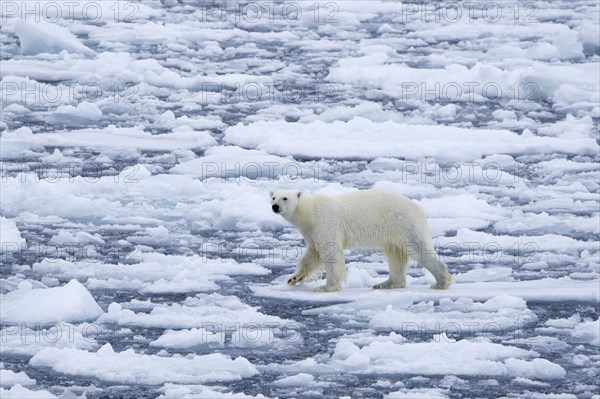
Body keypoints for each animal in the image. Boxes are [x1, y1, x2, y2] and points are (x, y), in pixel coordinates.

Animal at [270, 189, 450, 292]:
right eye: (273, 197)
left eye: (285, 198)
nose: (275, 207)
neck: (309, 212)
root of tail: (418, 208)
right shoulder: (311, 231)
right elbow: (312, 255)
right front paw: (293, 278)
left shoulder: (325, 223)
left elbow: (331, 253)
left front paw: (326, 287)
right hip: (395, 232)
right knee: (395, 255)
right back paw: (385, 283)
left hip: (404, 224)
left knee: (419, 249)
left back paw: (440, 282)